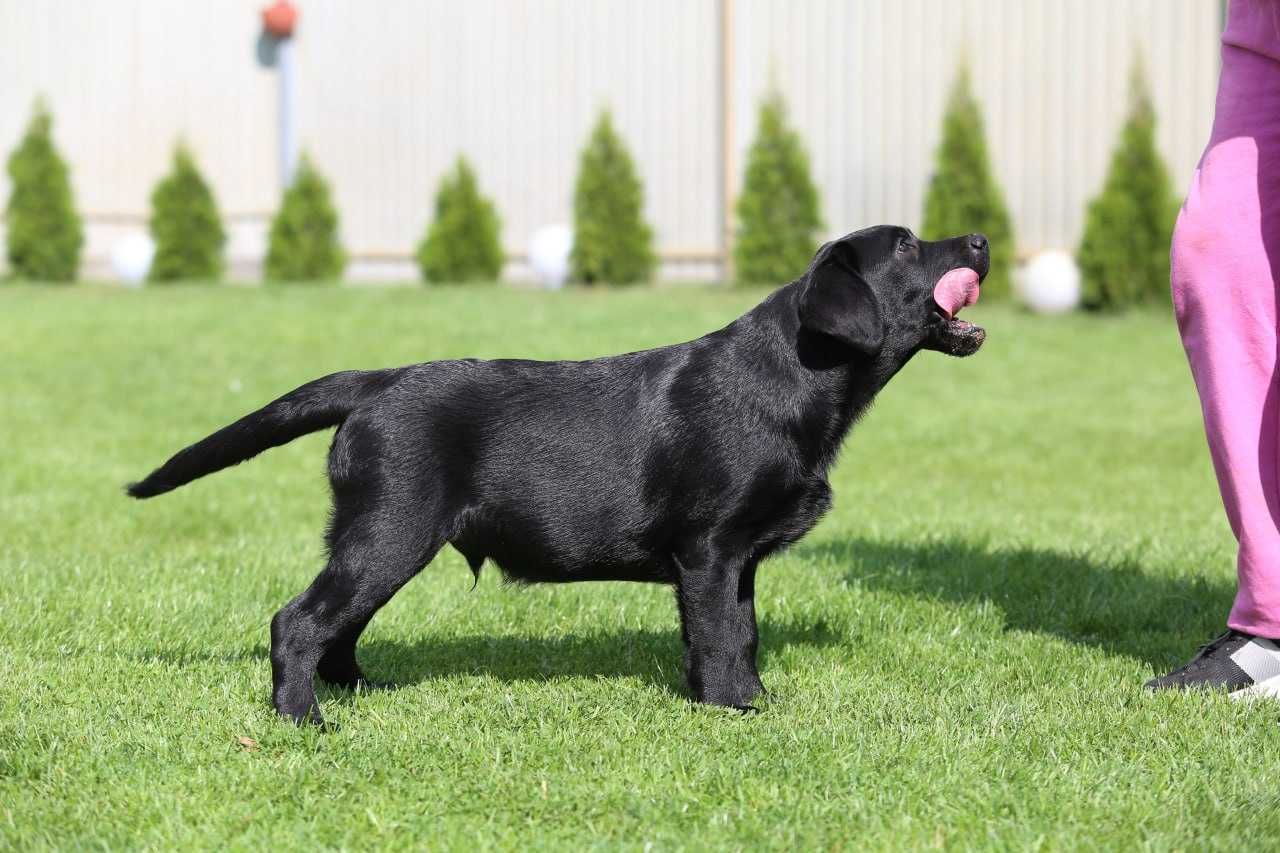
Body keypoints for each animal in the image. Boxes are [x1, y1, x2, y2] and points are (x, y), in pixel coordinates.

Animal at [127, 222, 988, 722]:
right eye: (907, 246)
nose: (980, 238)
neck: (794, 374)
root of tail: (376, 381)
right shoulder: (709, 550)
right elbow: (717, 636)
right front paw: (729, 711)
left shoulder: (738, 558)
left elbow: (742, 633)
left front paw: (753, 697)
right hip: (391, 529)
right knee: (299, 619)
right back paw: (303, 717)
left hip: (374, 537)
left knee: (337, 621)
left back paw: (357, 690)